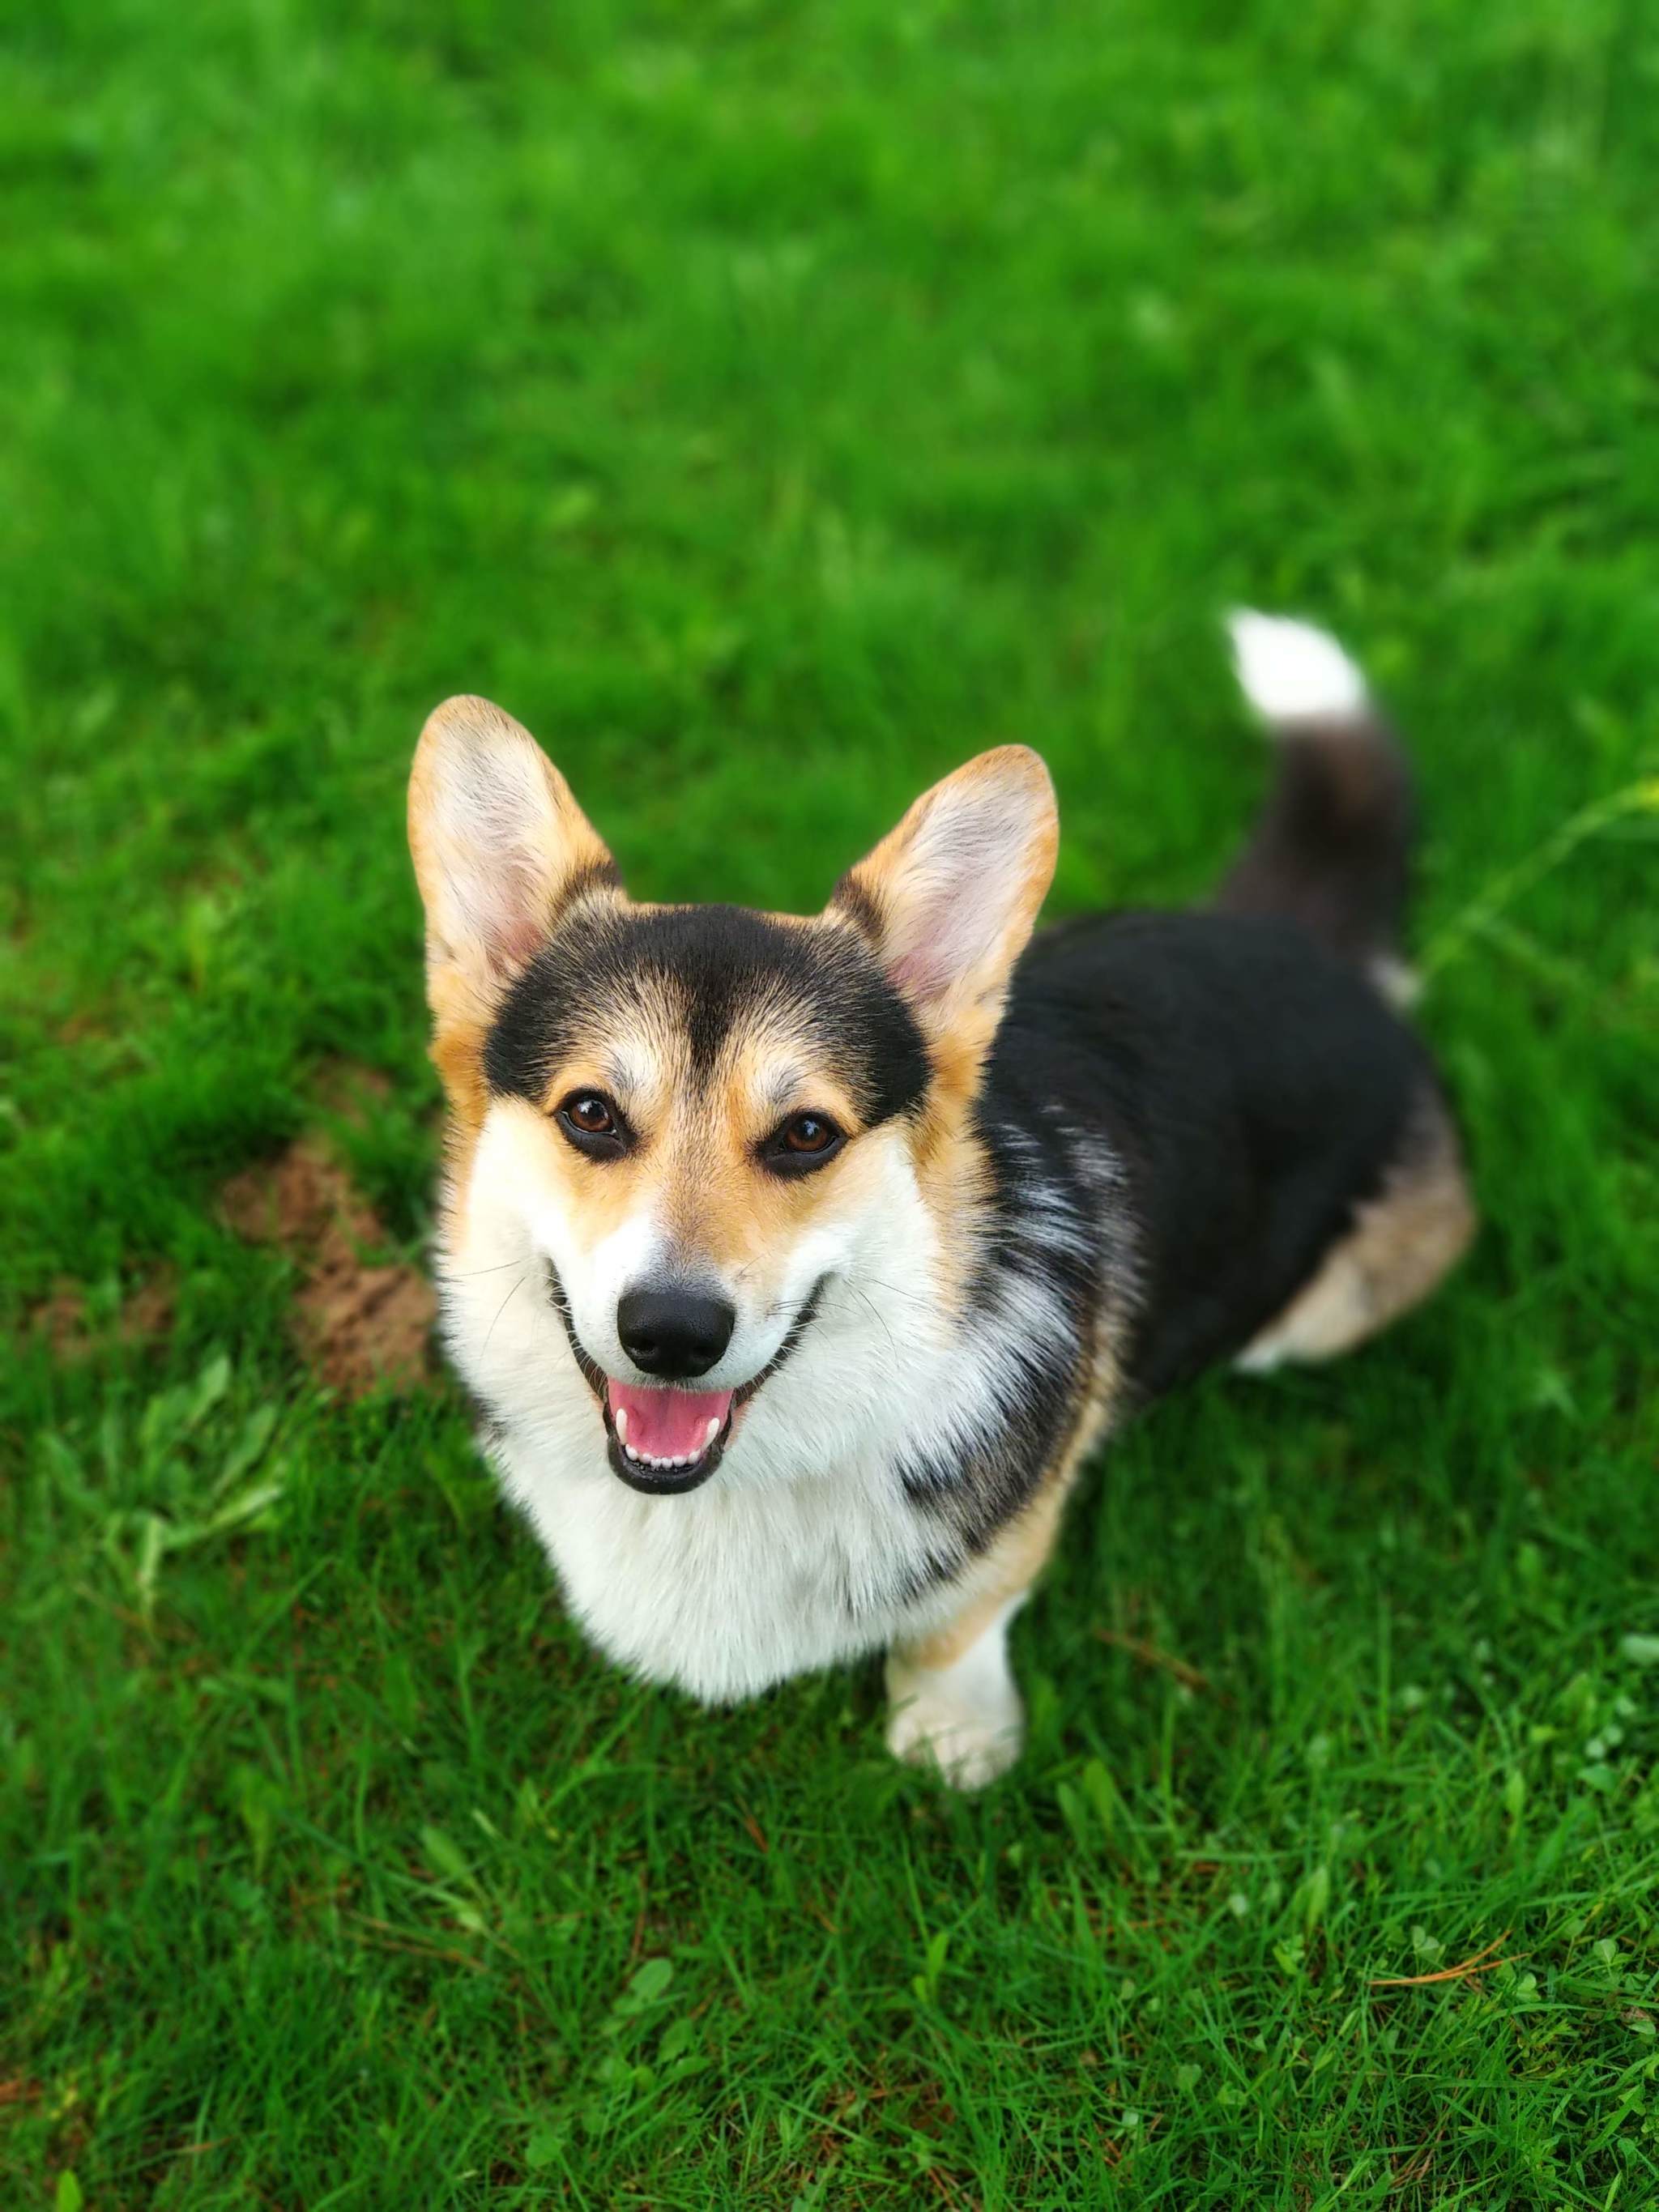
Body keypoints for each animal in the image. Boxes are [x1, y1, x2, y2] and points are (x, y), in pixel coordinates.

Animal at [409, 615, 1478, 1787]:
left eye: (807, 1134)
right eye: (592, 1113)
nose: (672, 1335)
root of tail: (1317, 950)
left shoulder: (1013, 1520)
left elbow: (964, 1615)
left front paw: (950, 1738)